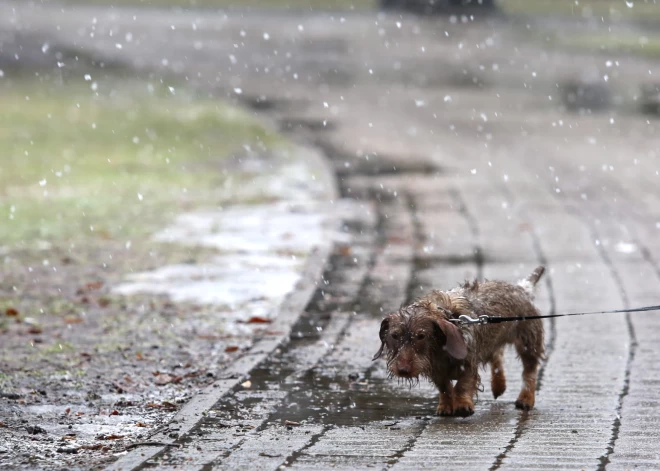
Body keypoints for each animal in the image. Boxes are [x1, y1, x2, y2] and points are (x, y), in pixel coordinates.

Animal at [374, 268, 544, 418]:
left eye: (421, 336)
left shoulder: (468, 362)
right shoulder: (436, 371)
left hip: (528, 342)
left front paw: (462, 404)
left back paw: (526, 398)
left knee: (529, 371)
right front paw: (446, 405)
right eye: (394, 335)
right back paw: (498, 385)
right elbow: (444, 387)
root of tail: (523, 288)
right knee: (497, 356)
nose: (403, 369)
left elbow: (463, 384)